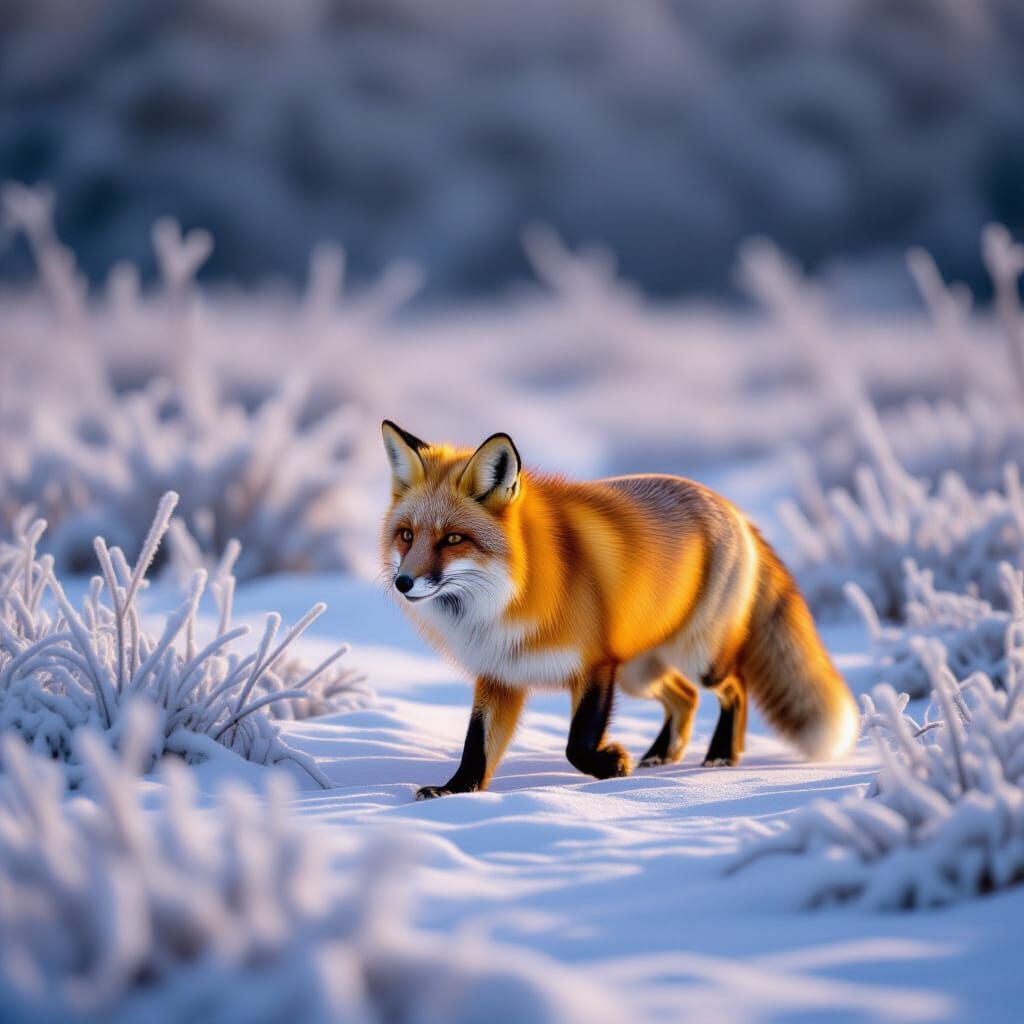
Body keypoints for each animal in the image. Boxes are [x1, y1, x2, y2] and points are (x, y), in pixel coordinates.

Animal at [380, 420, 858, 800]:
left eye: (453, 539)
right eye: (407, 535)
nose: (403, 583)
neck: (508, 599)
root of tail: (732, 508)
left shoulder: (596, 663)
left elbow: (576, 743)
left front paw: (610, 766)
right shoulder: (499, 674)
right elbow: (476, 745)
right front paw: (455, 791)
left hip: (696, 658)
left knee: (734, 686)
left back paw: (722, 756)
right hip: (639, 673)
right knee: (685, 698)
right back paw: (662, 755)